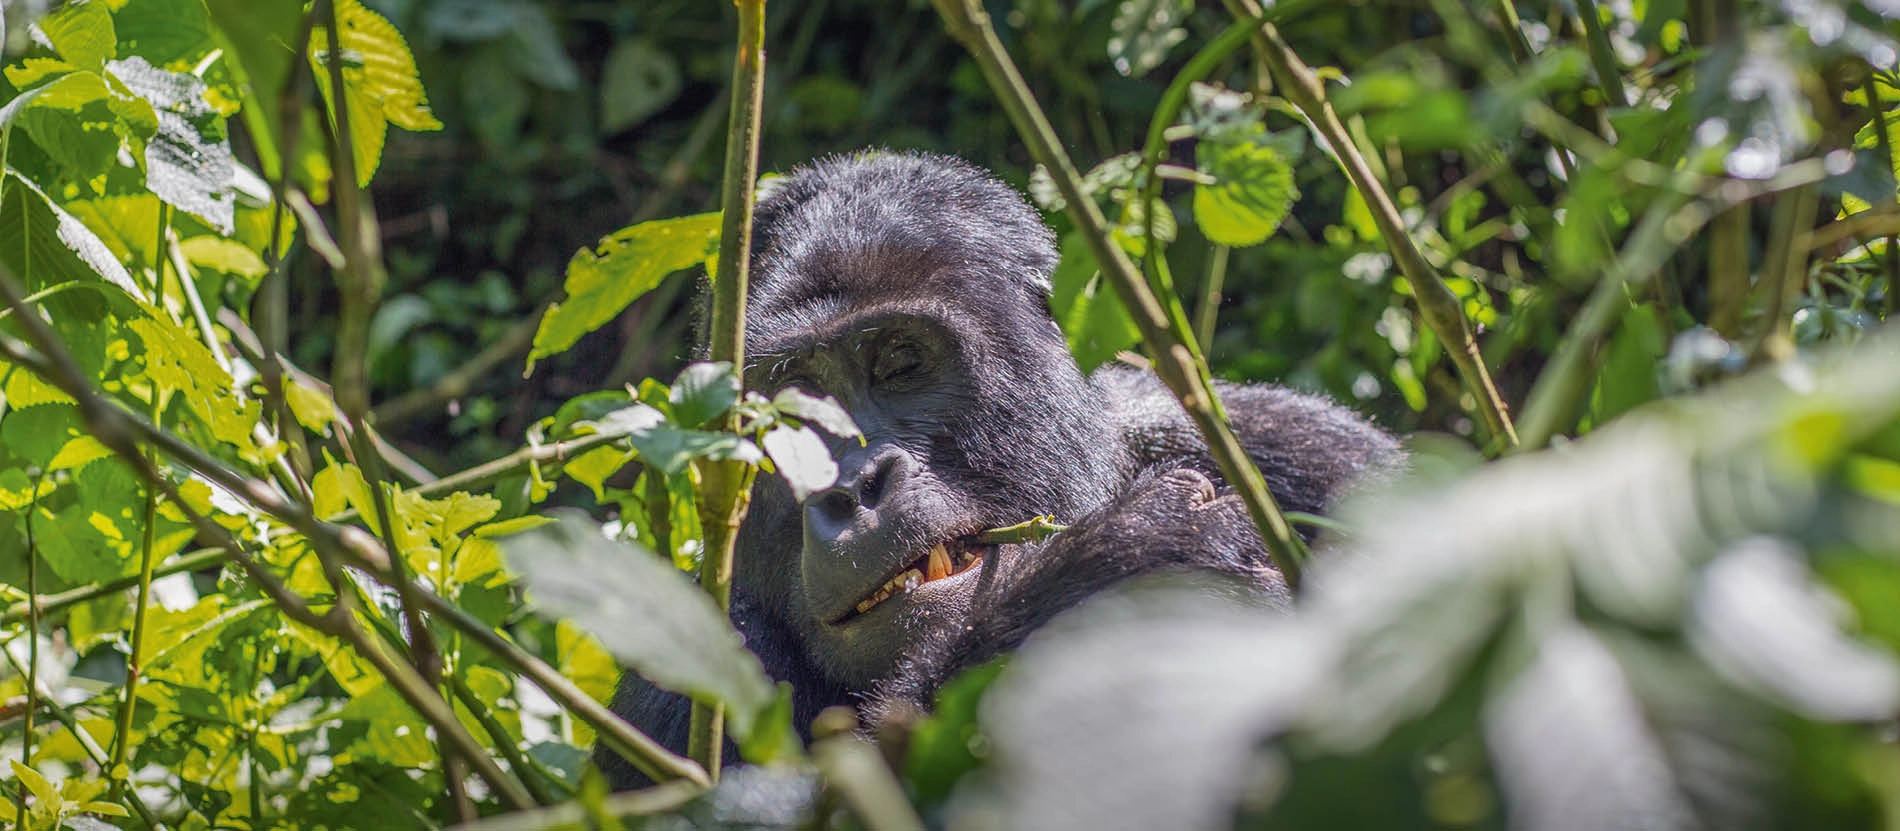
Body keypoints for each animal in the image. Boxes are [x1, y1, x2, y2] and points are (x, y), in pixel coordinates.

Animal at [600, 152, 1406, 787]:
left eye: (900, 361)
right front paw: (1124, 564)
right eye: (790, 410)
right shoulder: (682, 674)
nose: (852, 489)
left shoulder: (1308, 449)